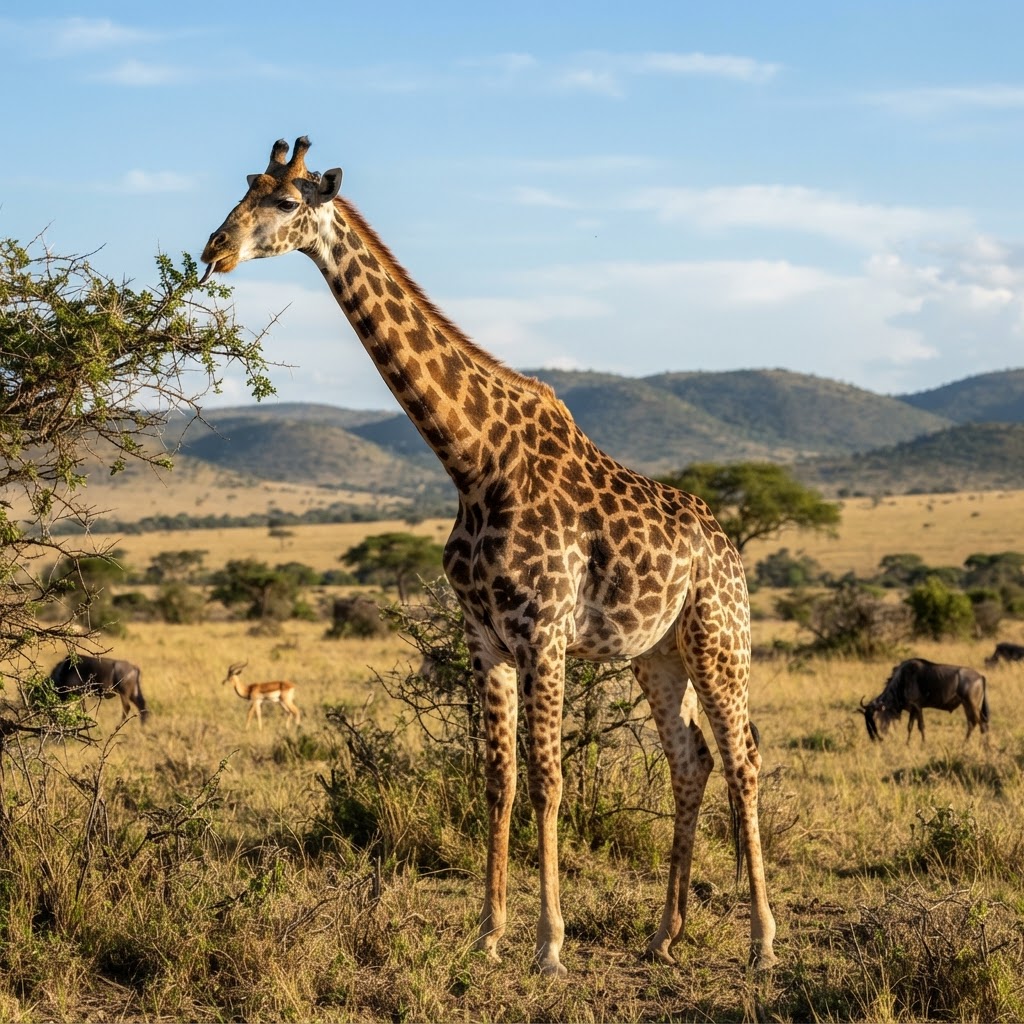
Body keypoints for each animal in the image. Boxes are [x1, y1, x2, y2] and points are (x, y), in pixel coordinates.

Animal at [200, 137, 777, 977]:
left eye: (281, 201)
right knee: (691, 759)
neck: (472, 461)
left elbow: (548, 781)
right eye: (245, 187)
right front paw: (489, 932)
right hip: (657, 651)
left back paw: (764, 941)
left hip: (716, 637)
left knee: (743, 758)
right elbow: (499, 778)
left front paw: (550, 943)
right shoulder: (486, 636)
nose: (212, 250)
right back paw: (664, 934)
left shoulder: (544, 634)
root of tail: (730, 547)